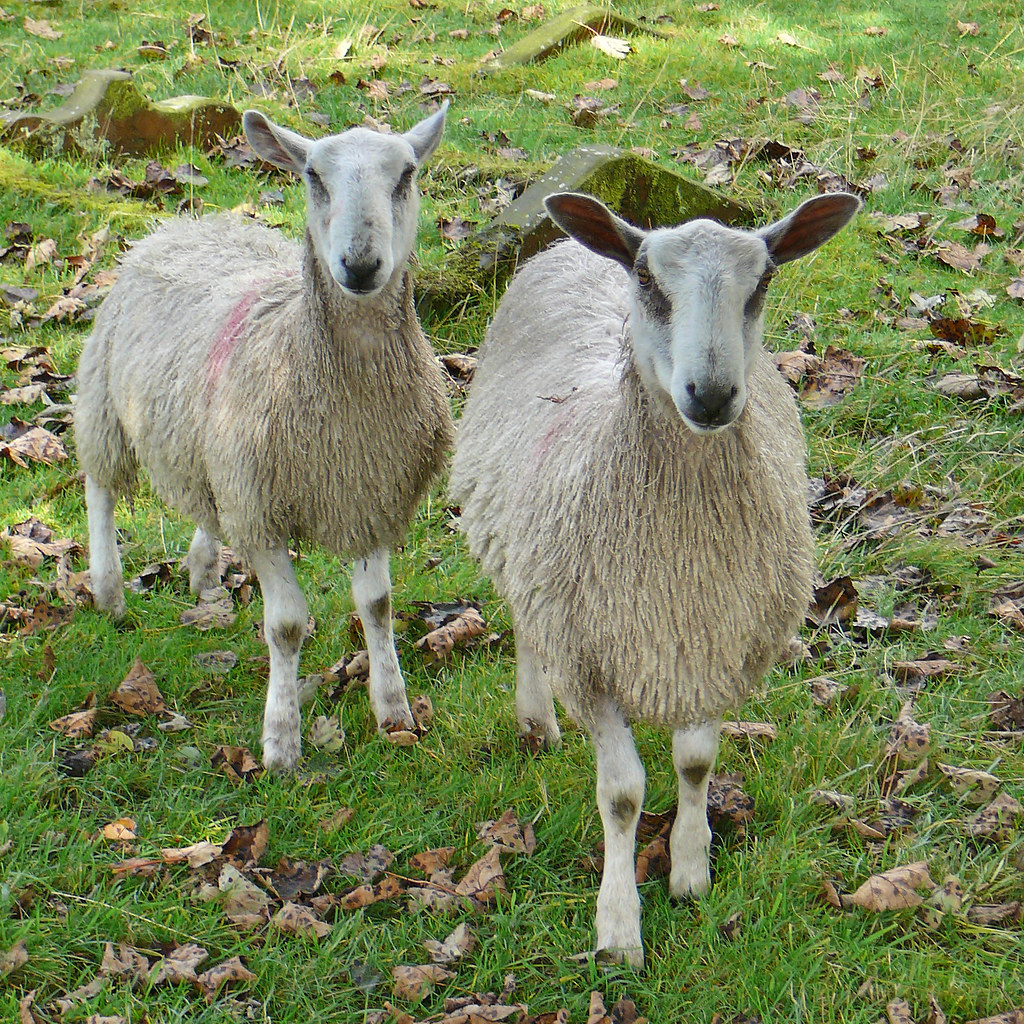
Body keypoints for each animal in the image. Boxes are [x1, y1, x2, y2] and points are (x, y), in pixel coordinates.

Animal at [75, 104, 454, 771]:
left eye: (407, 174)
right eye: (313, 176)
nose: (360, 265)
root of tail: (193, 221)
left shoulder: (367, 491)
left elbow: (377, 607)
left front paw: (394, 710)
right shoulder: (265, 512)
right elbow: (286, 628)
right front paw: (281, 743)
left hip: (214, 446)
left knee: (205, 502)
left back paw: (202, 571)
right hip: (106, 398)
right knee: (100, 484)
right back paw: (109, 590)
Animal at [448, 189, 861, 965]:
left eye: (762, 282)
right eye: (648, 280)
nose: (713, 393)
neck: (679, 553)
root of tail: (581, 244)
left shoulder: (718, 642)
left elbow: (696, 763)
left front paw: (691, 870)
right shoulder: (587, 658)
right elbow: (623, 796)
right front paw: (618, 927)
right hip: (527, 548)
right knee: (525, 624)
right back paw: (535, 720)